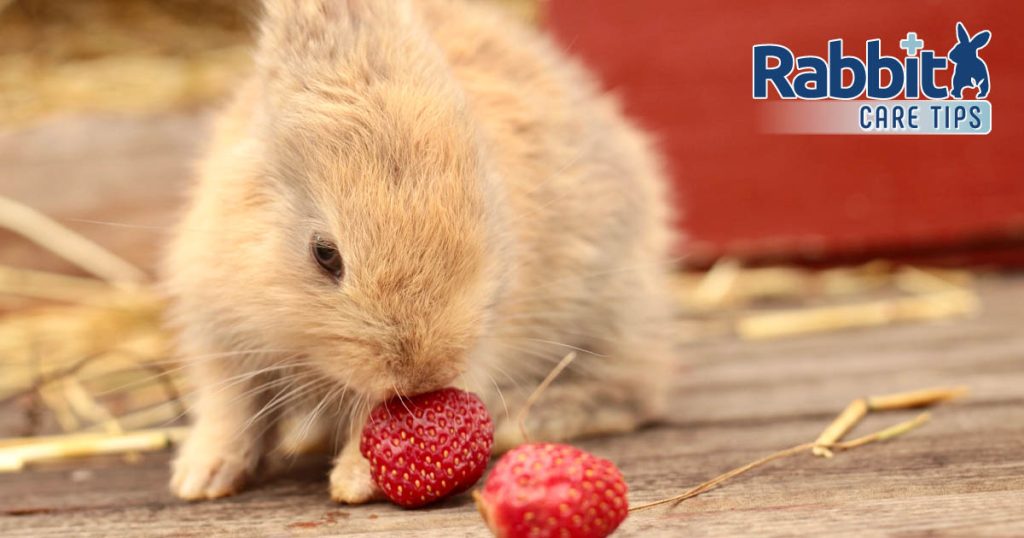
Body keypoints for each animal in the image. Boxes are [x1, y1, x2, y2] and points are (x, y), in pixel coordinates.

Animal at [164, 0, 679, 504]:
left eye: (484, 213)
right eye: (325, 254)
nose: (423, 376)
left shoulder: (486, 340)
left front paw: (354, 481)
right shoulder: (220, 333)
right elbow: (229, 407)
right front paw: (200, 478)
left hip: (610, 310)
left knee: (637, 389)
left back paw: (527, 420)